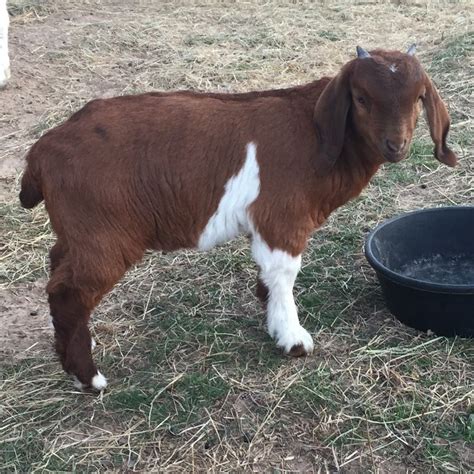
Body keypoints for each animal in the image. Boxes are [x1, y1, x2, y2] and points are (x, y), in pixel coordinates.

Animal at [20, 46, 458, 390]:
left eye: (418, 97)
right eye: (362, 98)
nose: (395, 145)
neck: (315, 135)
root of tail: (41, 152)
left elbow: (267, 275)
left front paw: (272, 319)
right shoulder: (283, 217)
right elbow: (284, 273)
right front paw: (293, 339)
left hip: (77, 232)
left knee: (57, 265)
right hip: (104, 234)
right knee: (68, 294)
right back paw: (88, 377)